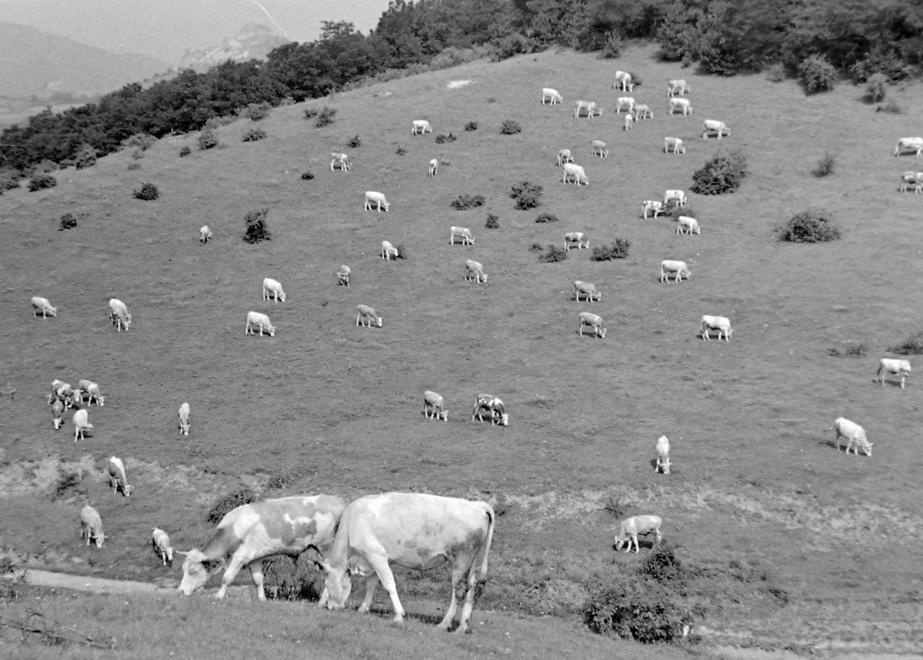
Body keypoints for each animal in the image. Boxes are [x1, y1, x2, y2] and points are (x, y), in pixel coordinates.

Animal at [179, 492, 344, 600]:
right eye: (184, 570)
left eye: (193, 571)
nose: (180, 591)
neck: (235, 527)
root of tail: (337, 501)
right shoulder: (254, 557)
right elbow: (258, 579)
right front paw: (262, 598)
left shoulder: (240, 556)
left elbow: (227, 577)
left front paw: (218, 596)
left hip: (327, 547)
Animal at [320, 492, 494, 632]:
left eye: (327, 583)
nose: (329, 606)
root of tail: (478, 505)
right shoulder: (378, 558)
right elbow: (372, 583)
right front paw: (363, 608)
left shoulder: (375, 554)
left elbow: (388, 583)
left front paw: (399, 615)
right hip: (470, 560)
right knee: (472, 586)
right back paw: (463, 625)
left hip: (461, 559)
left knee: (459, 590)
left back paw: (445, 623)